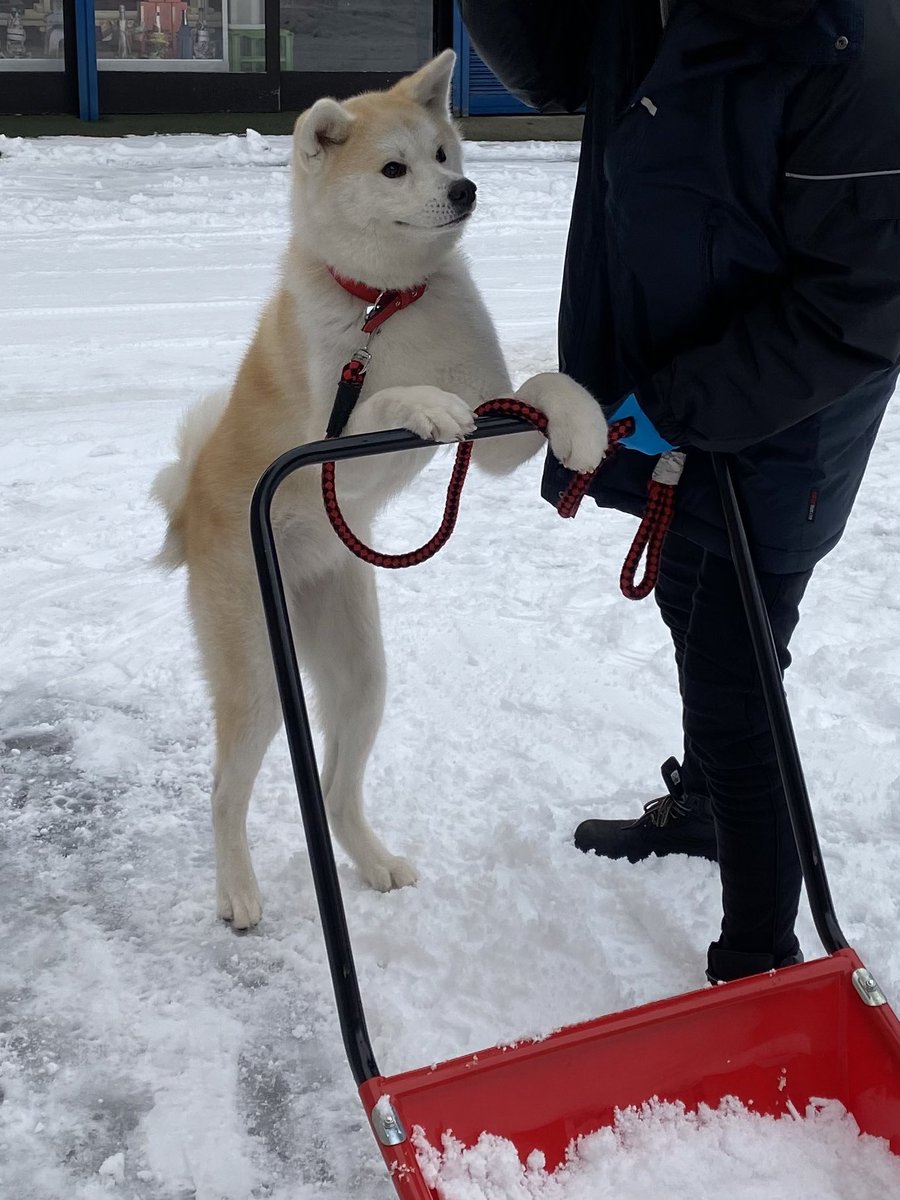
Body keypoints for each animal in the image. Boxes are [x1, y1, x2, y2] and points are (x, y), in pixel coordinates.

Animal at [151, 49, 609, 926]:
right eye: (394, 168)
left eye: (442, 153)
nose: (465, 190)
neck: (387, 304)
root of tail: (190, 510)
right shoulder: (331, 444)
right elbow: (385, 404)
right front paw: (425, 406)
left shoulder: (499, 422)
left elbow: (545, 386)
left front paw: (588, 424)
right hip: (260, 676)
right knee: (225, 790)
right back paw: (238, 891)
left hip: (360, 668)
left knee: (335, 789)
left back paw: (372, 861)